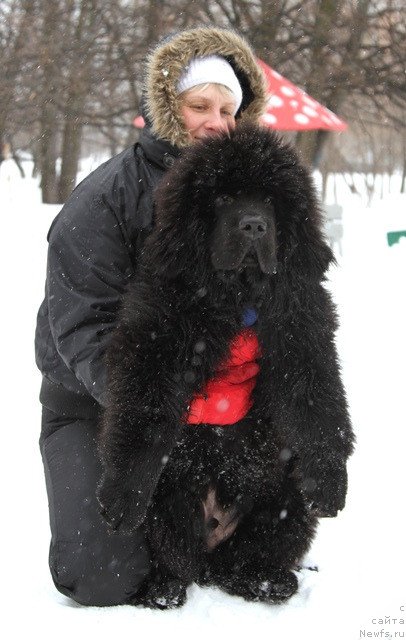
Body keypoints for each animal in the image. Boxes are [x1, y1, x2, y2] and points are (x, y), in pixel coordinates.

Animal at [96, 122, 354, 608]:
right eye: (222, 198)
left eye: (270, 199)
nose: (253, 225)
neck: (239, 294)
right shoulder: (156, 338)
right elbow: (142, 411)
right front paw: (122, 494)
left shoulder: (303, 333)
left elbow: (318, 404)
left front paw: (330, 477)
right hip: (172, 496)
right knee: (181, 559)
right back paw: (163, 590)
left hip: (284, 498)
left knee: (239, 563)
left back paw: (269, 581)